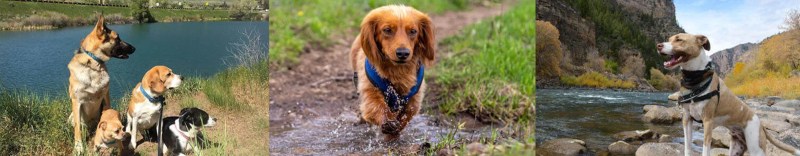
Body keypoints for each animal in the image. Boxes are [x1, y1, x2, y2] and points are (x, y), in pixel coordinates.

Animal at [68, 15, 135, 151]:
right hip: (71, 117)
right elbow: (77, 128)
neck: (93, 64)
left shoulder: (106, 96)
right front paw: (78, 146)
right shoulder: (76, 101)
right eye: (117, 38)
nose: (134, 48)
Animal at [350, 5, 438, 140]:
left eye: (413, 31)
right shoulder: (369, 91)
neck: (398, 71)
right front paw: (388, 123)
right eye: (387, 30)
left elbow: (407, 114)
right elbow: (378, 108)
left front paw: (394, 132)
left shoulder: (415, 98)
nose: (403, 53)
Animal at [656, 33, 800, 156]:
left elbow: (705, 149)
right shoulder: (687, 119)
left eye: (679, 40)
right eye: (669, 39)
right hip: (736, 148)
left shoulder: (707, 122)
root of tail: (761, 124)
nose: (658, 45)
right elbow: (687, 147)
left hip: (756, 148)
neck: (695, 78)